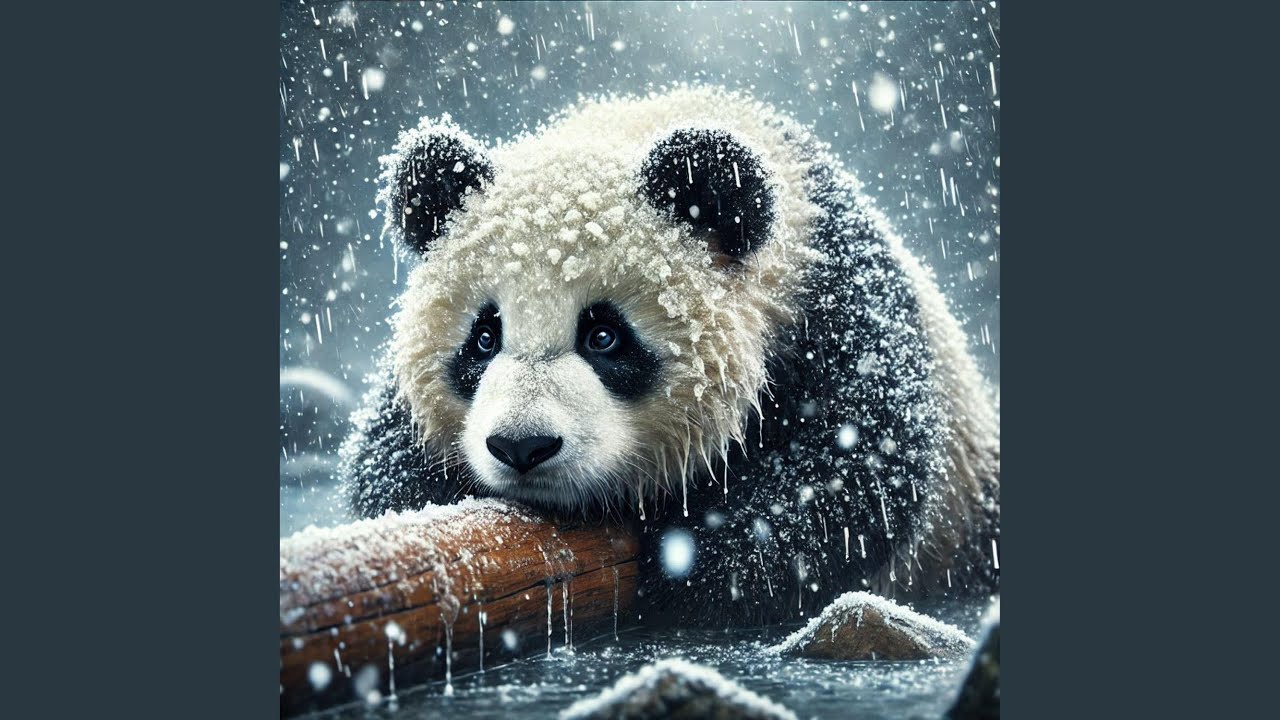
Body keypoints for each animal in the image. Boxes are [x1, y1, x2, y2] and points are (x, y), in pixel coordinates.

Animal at [341, 86, 999, 626]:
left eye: (604, 337)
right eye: (484, 338)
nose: (522, 446)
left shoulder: (836, 300)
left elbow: (858, 461)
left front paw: (691, 560)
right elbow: (384, 470)